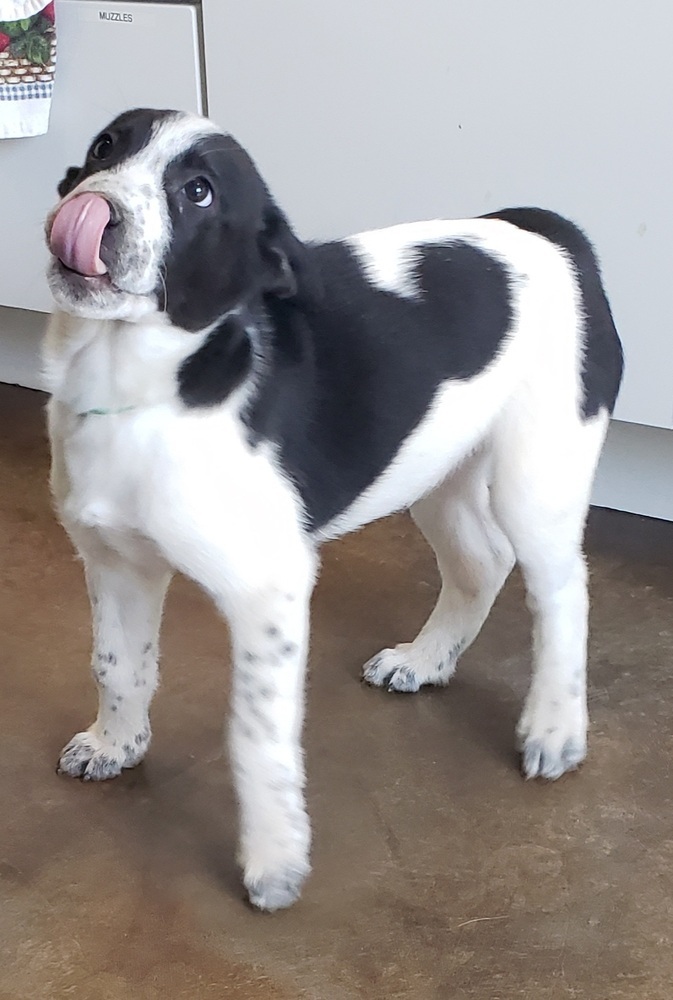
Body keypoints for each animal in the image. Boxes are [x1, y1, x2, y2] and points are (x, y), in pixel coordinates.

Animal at [42, 105, 624, 912]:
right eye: (104, 148)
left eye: (197, 192)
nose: (93, 208)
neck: (143, 386)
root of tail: (549, 233)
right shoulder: (116, 562)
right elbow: (115, 664)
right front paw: (116, 744)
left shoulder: (270, 590)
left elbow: (255, 736)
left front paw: (274, 861)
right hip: (431, 470)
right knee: (482, 561)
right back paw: (426, 660)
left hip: (534, 478)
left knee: (562, 591)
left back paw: (554, 729)